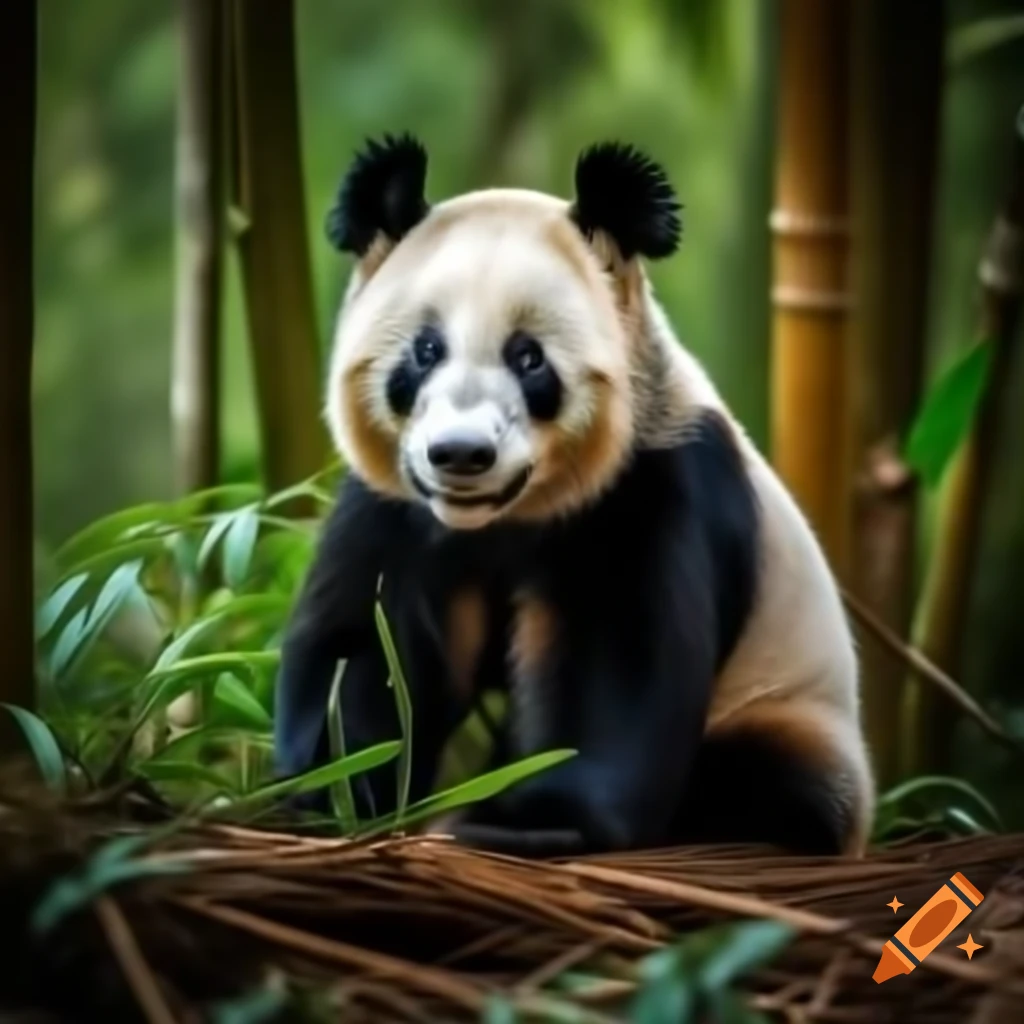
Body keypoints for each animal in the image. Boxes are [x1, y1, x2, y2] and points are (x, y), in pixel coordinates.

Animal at [274, 133, 875, 858]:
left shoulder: (647, 489)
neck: (497, 520)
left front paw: (523, 821)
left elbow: (614, 679)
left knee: (770, 780)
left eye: (528, 358)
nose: (461, 454)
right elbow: (364, 651)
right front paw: (335, 787)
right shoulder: (396, 510)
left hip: (792, 704)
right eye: (425, 350)